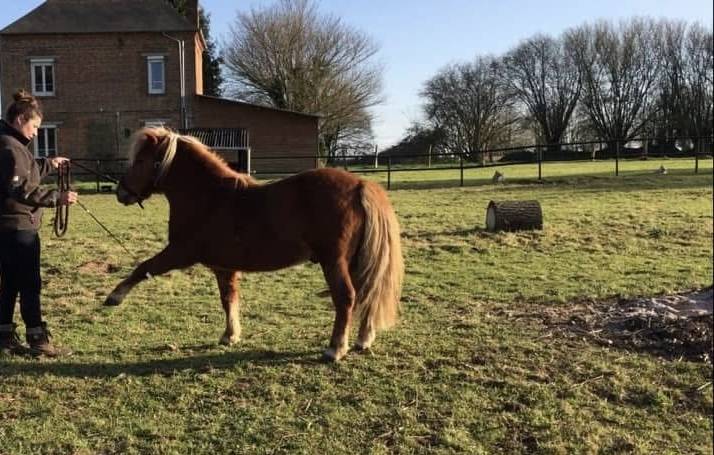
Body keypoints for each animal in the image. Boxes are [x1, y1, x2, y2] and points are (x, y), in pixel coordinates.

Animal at [104, 127, 404, 361]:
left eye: (141, 160)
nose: (120, 192)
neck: (209, 197)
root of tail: (360, 185)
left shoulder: (180, 253)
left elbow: (143, 268)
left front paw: (114, 297)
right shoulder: (223, 267)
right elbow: (228, 299)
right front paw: (230, 335)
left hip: (334, 261)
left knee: (346, 297)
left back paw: (335, 349)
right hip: (355, 260)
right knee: (367, 292)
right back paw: (363, 340)